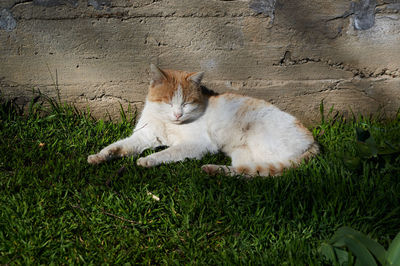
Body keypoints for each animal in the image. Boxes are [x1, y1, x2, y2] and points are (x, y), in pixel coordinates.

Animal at [87, 64, 318, 177]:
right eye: (168, 102)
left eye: (187, 103)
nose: (178, 114)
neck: (169, 124)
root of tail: (312, 140)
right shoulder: (144, 136)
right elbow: (119, 146)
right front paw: (99, 156)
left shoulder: (198, 144)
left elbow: (168, 152)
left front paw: (148, 160)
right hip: (242, 154)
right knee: (250, 172)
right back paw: (214, 170)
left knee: (270, 173)